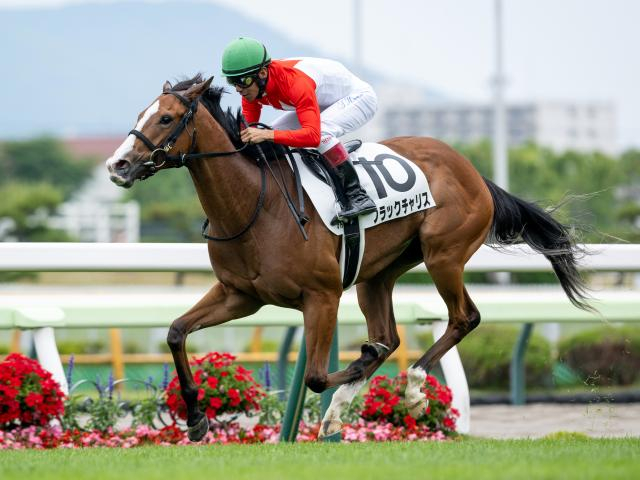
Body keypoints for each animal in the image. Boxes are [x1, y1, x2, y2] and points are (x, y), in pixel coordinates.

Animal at [106, 75, 591, 441]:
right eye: (139, 114)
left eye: (166, 117)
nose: (118, 165)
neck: (256, 204)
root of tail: (473, 171)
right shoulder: (239, 295)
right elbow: (175, 332)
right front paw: (196, 419)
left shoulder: (321, 297)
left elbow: (317, 376)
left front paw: (363, 369)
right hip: (377, 275)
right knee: (390, 335)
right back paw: (344, 408)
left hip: (444, 255)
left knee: (462, 318)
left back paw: (413, 388)